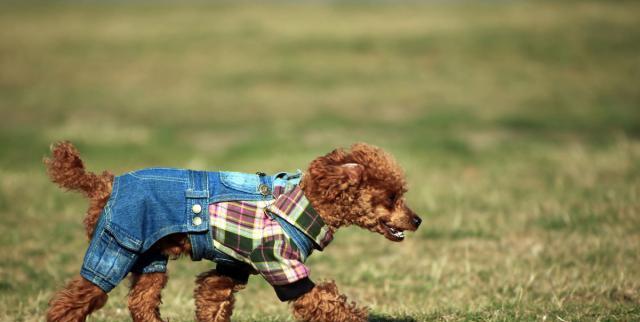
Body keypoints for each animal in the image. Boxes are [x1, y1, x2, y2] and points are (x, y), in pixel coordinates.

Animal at [43, 142, 420, 322]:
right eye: (391, 197)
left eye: (401, 194)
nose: (417, 220)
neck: (307, 202)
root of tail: (104, 183)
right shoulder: (280, 263)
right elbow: (326, 303)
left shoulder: (232, 267)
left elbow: (213, 298)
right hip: (117, 245)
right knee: (70, 304)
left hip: (149, 258)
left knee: (142, 303)